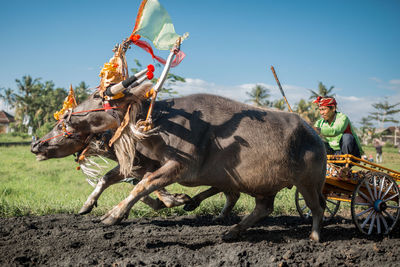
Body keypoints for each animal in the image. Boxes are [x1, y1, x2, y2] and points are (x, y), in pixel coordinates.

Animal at [30, 84, 324, 243]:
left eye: (98, 98)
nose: (36, 145)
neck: (156, 125)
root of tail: (315, 134)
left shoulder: (177, 166)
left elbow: (144, 185)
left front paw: (114, 214)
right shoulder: (144, 164)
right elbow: (115, 180)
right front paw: (87, 206)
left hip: (308, 183)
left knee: (317, 207)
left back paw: (314, 236)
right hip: (263, 185)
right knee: (261, 207)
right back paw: (230, 230)